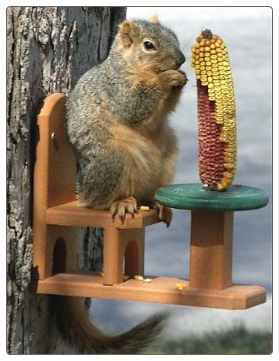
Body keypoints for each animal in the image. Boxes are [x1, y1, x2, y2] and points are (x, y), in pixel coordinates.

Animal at [63, 15, 188, 352]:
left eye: (175, 37)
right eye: (149, 45)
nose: (181, 60)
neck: (129, 67)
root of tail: (83, 189)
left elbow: (163, 110)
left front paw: (181, 78)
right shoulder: (116, 90)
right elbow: (135, 105)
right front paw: (170, 78)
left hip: (168, 152)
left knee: (147, 194)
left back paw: (158, 204)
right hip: (114, 158)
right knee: (99, 201)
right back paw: (120, 202)